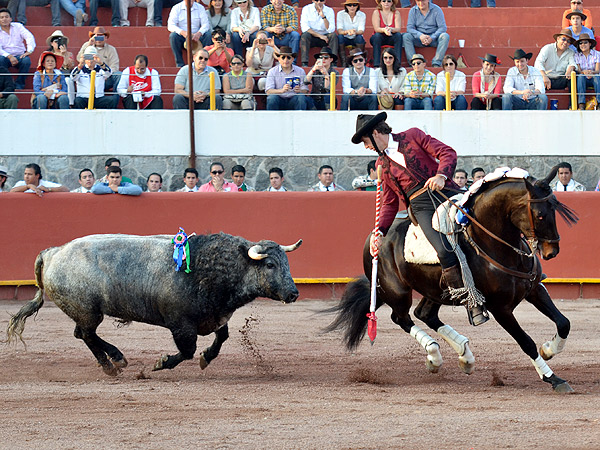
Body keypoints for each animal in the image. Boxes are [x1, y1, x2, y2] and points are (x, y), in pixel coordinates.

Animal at [7, 232, 302, 376]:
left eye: (287, 262)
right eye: (270, 264)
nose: (293, 294)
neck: (211, 267)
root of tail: (53, 252)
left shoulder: (216, 316)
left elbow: (221, 339)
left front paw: (206, 358)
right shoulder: (180, 325)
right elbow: (187, 351)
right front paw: (162, 363)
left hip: (86, 313)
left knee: (82, 334)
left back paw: (115, 360)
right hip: (88, 311)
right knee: (88, 335)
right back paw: (111, 364)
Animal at [326, 166, 580, 394]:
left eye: (554, 208)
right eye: (540, 214)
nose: (552, 251)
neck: (495, 244)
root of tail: (376, 235)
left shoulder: (534, 289)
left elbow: (564, 322)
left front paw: (548, 349)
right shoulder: (500, 308)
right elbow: (525, 341)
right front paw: (553, 378)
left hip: (437, 289)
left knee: (424, 314)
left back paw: (464, 355)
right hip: (396, 291)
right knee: (402, 318)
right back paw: (435, 355)